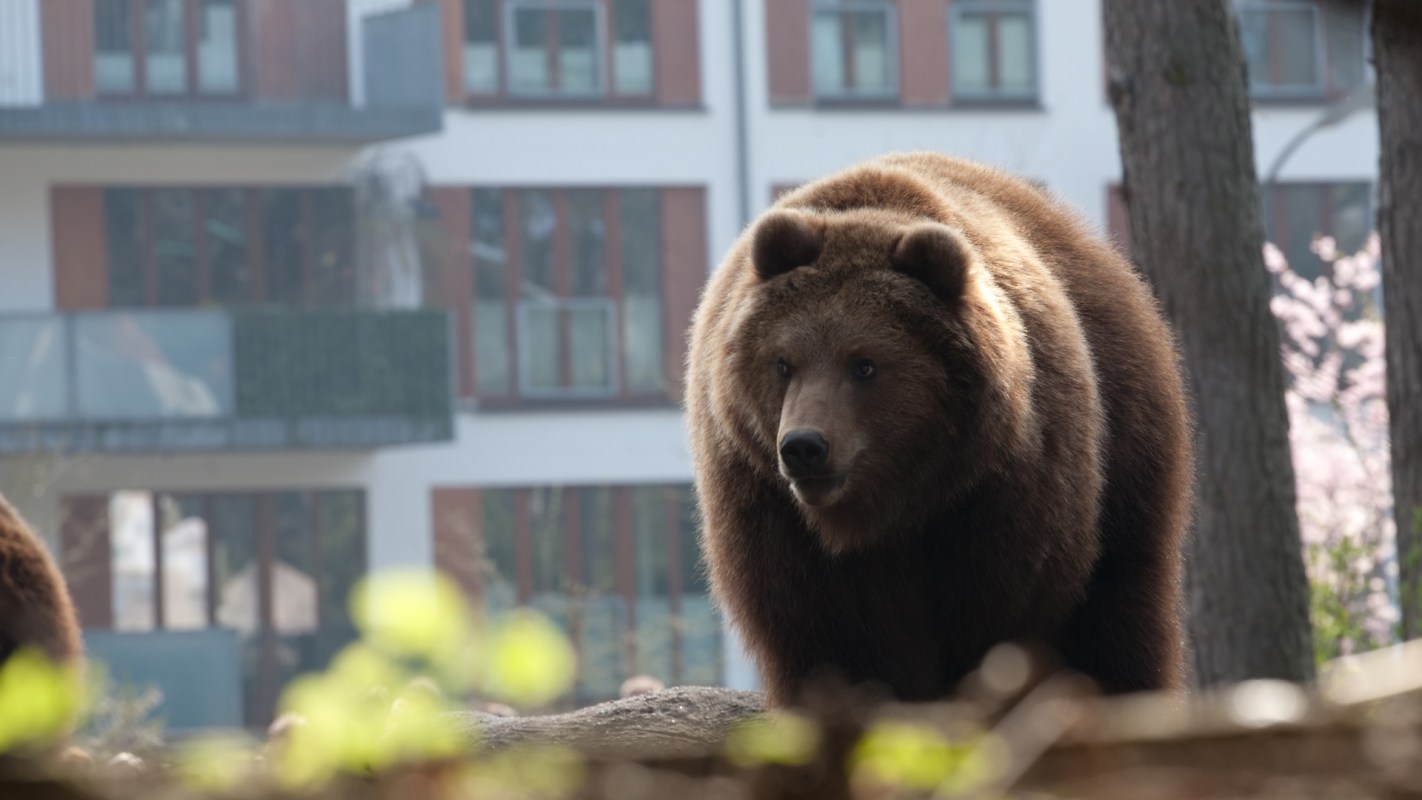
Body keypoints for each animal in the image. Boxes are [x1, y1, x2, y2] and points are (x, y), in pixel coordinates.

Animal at [685, 152, 1194, 707]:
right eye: (783, 362)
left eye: (864, 364)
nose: (804, 446)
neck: (892, 506)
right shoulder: (773, 513)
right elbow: (836, 638)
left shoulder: (1003, 494)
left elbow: (996, 618)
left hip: (1126, 462)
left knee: (1119, 612)